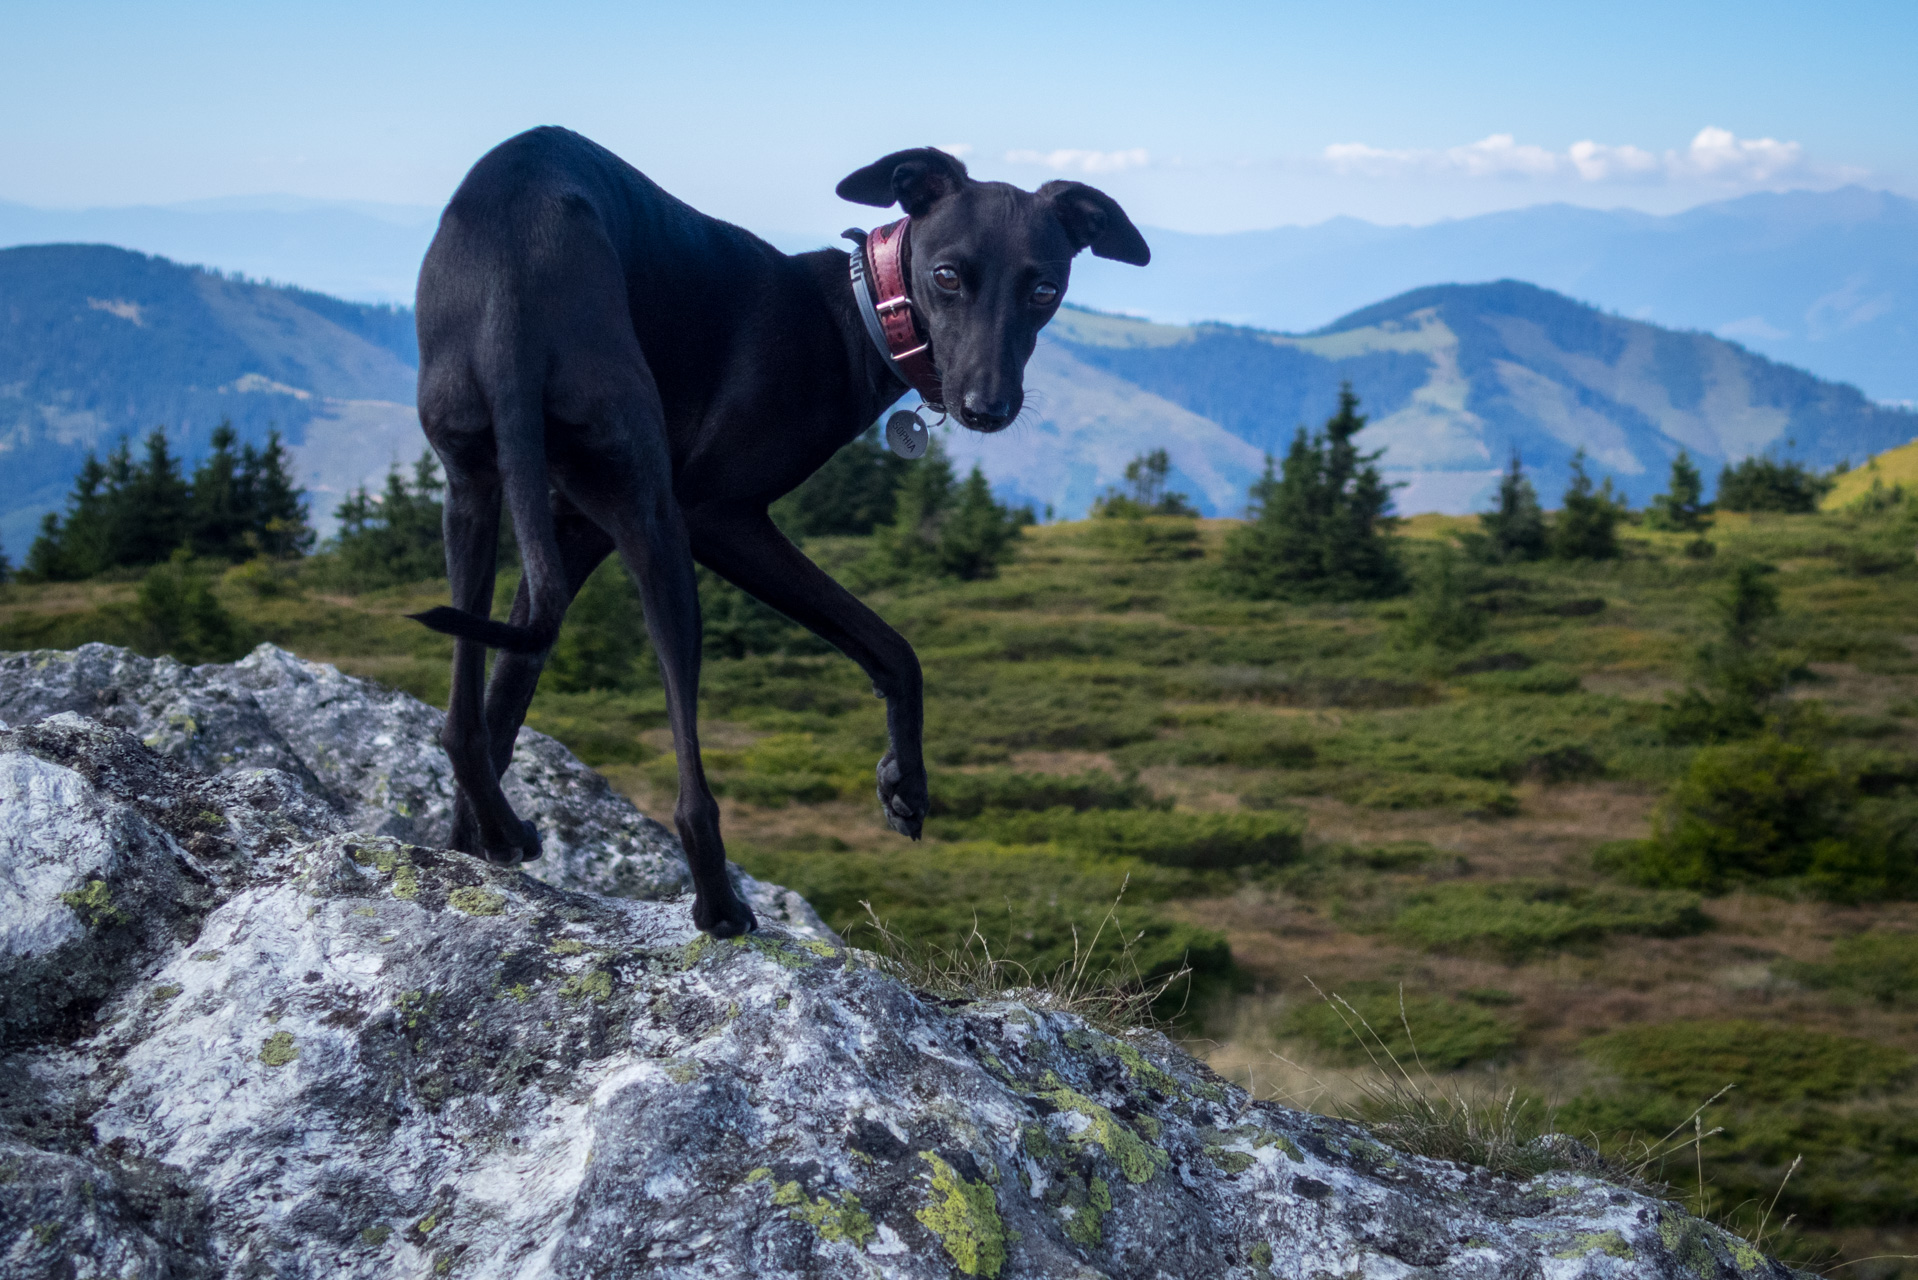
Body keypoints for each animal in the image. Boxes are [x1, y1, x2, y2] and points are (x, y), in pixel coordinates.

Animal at [412, 130, 1143, 936]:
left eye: (1045, 291)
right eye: (948, 276)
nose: (988, 408)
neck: (856, 315)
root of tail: (514, 274)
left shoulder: (572, 527)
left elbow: (506, 701)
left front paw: (470, 856)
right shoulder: (718, 516)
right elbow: (891, 642)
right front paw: (907, 783)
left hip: (472, 490)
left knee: (462, 723)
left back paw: (495, 834)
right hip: (654, 521)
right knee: (688, 780)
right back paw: (719, 906)